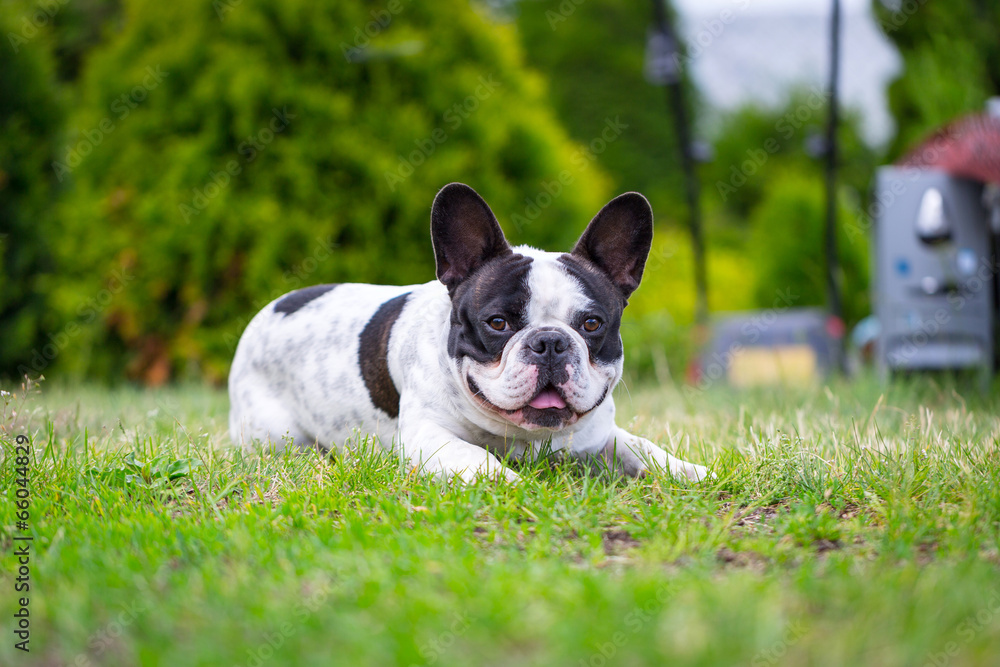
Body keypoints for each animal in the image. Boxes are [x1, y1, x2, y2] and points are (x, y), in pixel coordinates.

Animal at [229, 184, 712, 480]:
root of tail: (274, 307)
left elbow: (643, 448)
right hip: (274, 435)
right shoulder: (427, 436)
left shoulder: (601, 434)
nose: (550, 342)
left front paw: (691, 471)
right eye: (497, 323)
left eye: (591, 324)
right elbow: (473, 456)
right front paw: (508, 483)